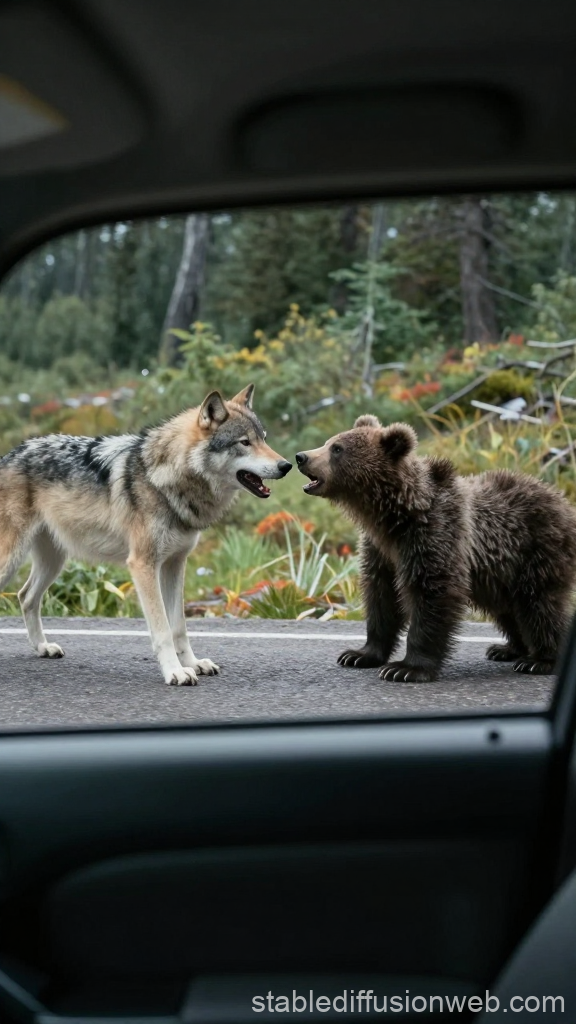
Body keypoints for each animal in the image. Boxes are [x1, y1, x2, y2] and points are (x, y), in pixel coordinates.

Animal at [0, 384, 291, 685]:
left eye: (264, 438)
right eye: (244, 442)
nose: (286, 465)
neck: (166, 480)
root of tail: (10, 453)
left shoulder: (175, 564)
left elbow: (179, 628)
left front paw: (193, 663)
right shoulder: (143, 565)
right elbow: (162, 629)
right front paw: (175, 671)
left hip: (53, 562)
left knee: (25, 596)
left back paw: (42, 647)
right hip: (14, 560)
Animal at [295, 415, 576, 682]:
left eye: (337, 448)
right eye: (330, 442)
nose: (301, 457)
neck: (394, 515)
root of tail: (564, 503)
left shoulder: (434, 535)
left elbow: (431, 593)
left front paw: (405, 669)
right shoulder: (380, 551)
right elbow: (381, 597)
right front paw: (358, 654)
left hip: (536, 550)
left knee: (538, 604)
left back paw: (540, 660)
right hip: (499, 573)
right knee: (508, 609)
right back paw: (507, 649)